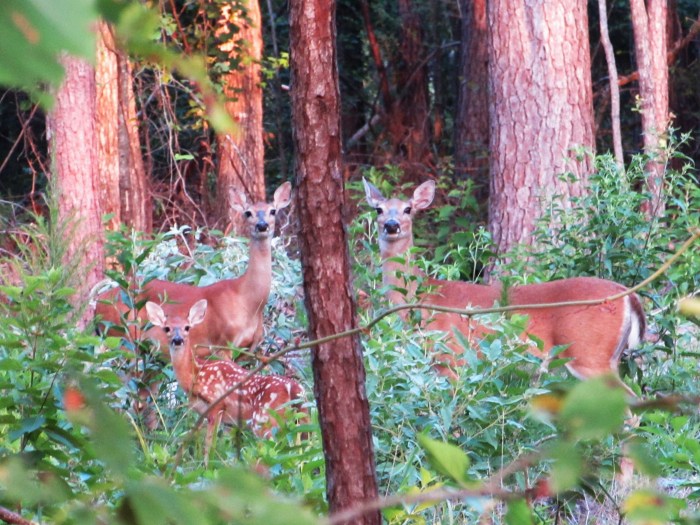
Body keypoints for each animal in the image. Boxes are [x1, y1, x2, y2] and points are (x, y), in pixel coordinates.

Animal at [145, 299, 306, 465]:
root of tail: (293, 387)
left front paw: (206, 465)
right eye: (167, 328)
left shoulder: (217, 403)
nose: (177, 340)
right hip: (298, 418)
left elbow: (209, 445)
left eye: (187, 327)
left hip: (264, 418)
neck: (195, 373)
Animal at [362, 178, 646, 397]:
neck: (422, 295)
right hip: (609, 356)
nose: (391, 225)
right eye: (378, 210)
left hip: (588, 353)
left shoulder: (452, 356)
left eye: (408, 209)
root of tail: (629, 297)